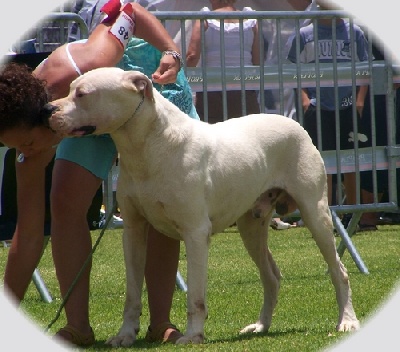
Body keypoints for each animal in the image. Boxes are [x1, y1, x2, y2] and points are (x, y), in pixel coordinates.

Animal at [48, 67, 360, 346]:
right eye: (69, 88)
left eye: (82, 93)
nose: (48, 109)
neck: (148, 144)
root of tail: (295, 124)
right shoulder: (133, 231)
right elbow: (132, 293)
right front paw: (125, 335)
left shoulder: (195, 233)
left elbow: (195, 296)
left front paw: (193, 336)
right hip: (251, 226)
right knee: (271, 276)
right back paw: (260, 326)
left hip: (315, 213)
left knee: (339, 271)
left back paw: (346, 321)